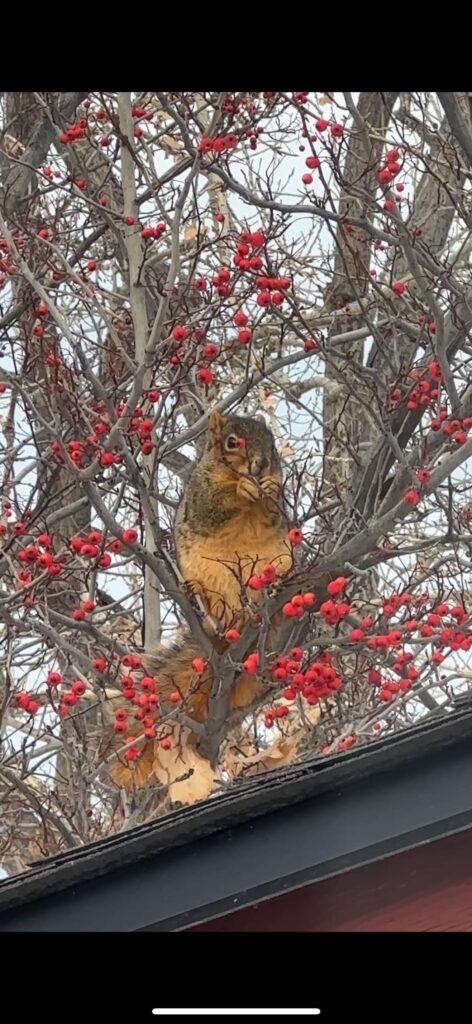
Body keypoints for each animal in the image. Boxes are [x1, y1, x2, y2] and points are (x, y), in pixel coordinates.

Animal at [107, 410, 293, 791]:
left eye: (271, 443)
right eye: (232, 442)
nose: (261, 464)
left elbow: (273, 512)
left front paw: (268, 489)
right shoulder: (200, 493)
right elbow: (214, 504)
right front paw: (242, 489)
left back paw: (271, 590)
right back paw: (199, 599)